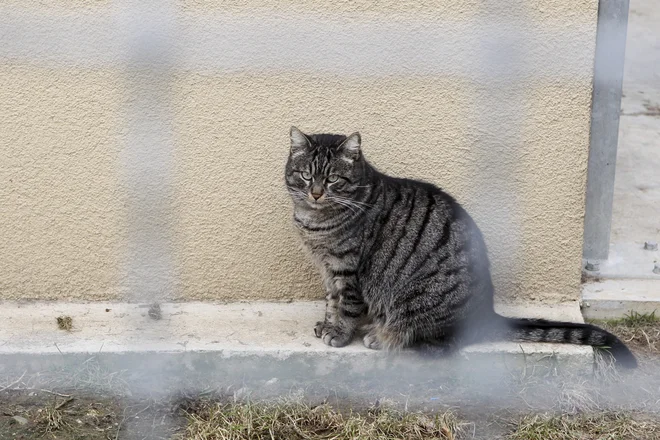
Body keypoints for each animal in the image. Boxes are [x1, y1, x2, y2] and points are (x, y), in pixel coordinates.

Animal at [286, 126, 636, 368]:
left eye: (333, 179)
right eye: (305, 175)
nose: (316, 193)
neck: (314, 222)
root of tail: (486, 313)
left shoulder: (347, 269)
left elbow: (346, 305)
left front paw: (340, 333)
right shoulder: (328, 269)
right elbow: (331, 301)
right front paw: (328, 323)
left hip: (417, 300)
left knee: (437, 342)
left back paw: (381, 335)